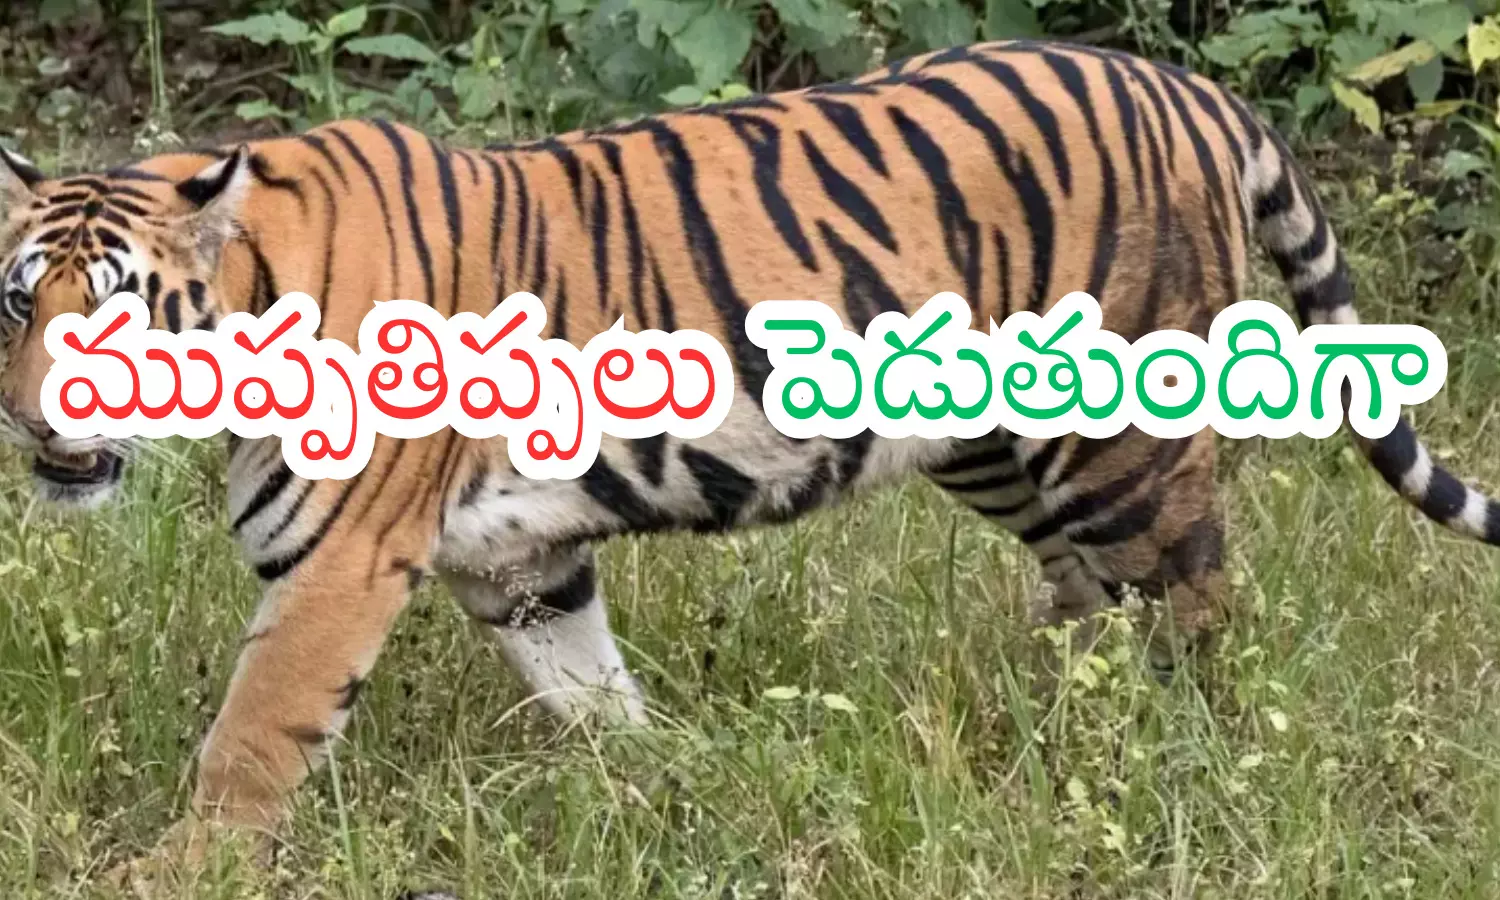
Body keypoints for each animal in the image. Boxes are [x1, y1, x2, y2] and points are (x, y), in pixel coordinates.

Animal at [1, 37, 1496, 887]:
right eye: (21, 303)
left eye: (117, 314)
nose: (30, 422)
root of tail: (1192, 88)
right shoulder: (524, 562)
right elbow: (590, 693)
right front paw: (654, 792)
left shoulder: (339, 566)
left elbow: (252, 737)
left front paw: (171, 873)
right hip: (998, 442)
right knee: (1088, 602)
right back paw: (1047, 734)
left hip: (1119, 444)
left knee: (1198, 607)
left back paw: (1180, 762)